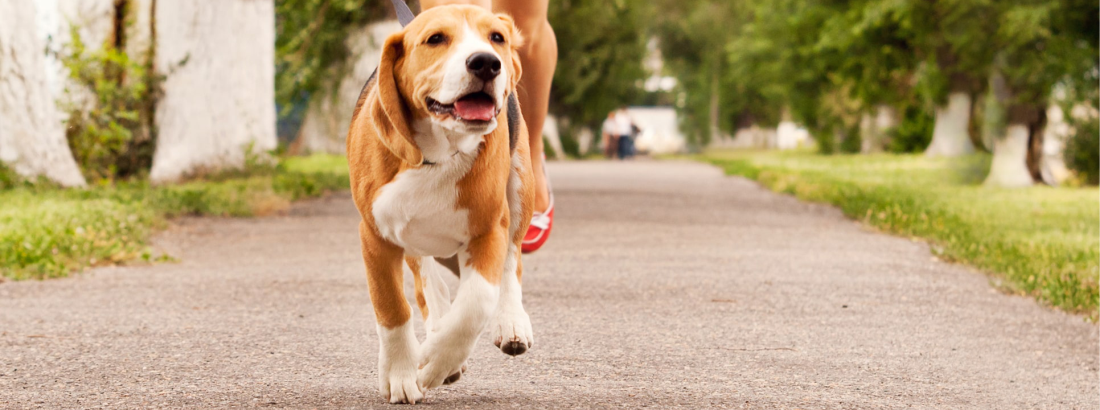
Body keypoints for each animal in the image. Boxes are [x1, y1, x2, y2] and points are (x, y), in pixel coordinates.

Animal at [343, 4, 532, 404]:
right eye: (435, 39)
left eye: (497, 38)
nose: (486, 63)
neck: (438, 152)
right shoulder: (375, 236)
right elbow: (393, 307)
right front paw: (400, 374)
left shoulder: (488, 230)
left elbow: (476, 303)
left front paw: (435, 362)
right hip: (411, 235)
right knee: (426, 283)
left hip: (522, 186)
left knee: (512, 262)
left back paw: (511, 323)